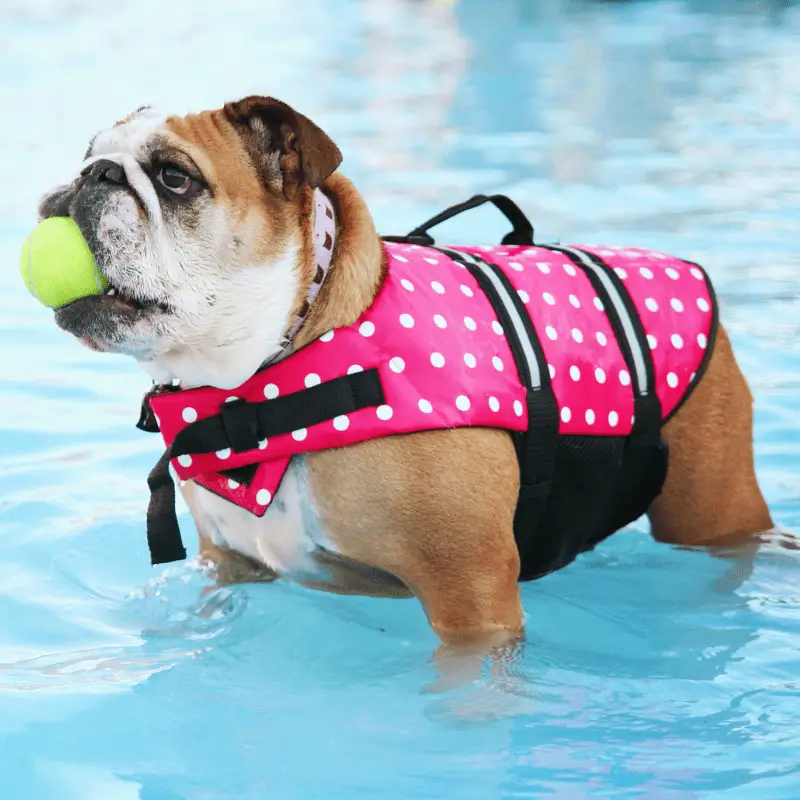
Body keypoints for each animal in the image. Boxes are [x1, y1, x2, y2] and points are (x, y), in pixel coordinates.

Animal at [39, 97, 776, 652]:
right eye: (88, 154)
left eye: (175, 179)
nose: (92, 175)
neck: (259, 381)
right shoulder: (232, 565)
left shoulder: (473, 602)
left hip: (712, 503)